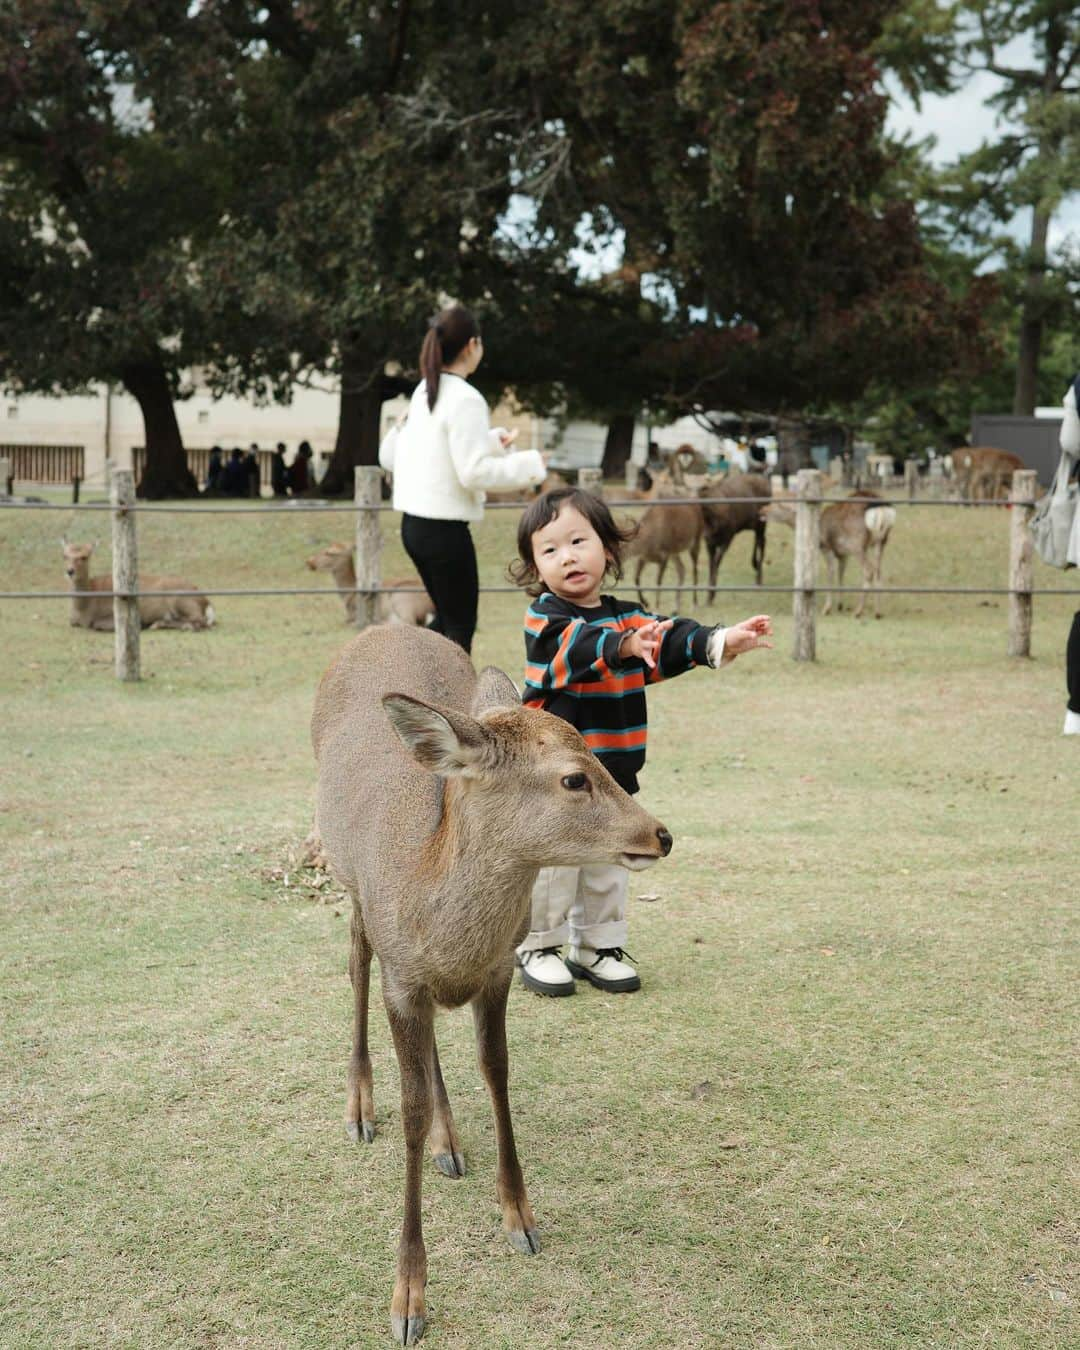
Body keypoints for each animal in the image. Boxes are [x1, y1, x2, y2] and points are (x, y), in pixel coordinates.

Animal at [63, 537, 217, 631]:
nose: (69, 571)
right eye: (64, 556)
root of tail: (206, 601)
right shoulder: (72, 620)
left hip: (179, 599)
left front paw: (142, 624)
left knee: (201, 620)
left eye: (84, 557)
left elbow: (96, 624)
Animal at [303, 542, 434, 626]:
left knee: (409, 622)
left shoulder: (356, 613)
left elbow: (347, 622)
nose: (309, 562)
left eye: (330, 553)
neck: (349, 592)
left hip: (401, 598)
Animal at [307, 626, 669, 1344]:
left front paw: (520, 1218)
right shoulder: (401, 978)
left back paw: (450, 1143)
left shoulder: (498, 969)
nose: (661, 834)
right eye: (573, 777)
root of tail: (382, 628)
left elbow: (496, 1071)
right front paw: (408, 1297)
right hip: (349, 882)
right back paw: (360, 1108)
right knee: (355, 962)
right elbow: (411, 1108)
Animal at [761, 488, 896, 618]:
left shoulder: (827, 547)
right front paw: (840, 605)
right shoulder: (843, 553)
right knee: (878, 571)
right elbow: (841, 573)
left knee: (868, 571)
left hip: (857, 545)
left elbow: (830, 573)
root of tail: (881, 508)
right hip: (881, 542)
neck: (819, 530)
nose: (762, 511)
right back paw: (878, 612)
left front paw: (827, 608)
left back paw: (858, 611)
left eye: (778, 503)